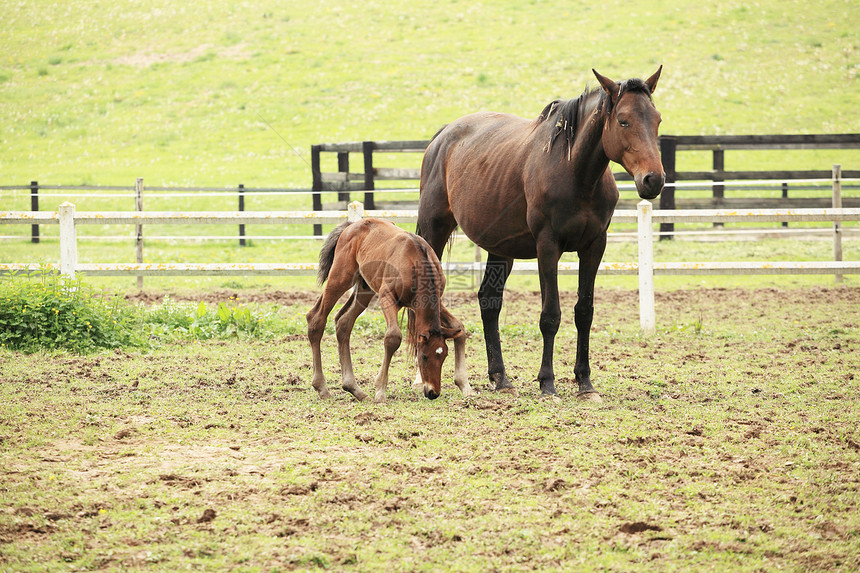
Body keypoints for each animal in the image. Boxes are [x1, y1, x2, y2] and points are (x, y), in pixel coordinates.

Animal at [306, 218, 474, 402]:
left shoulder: (429, 303)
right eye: (424, 356)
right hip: (340, 277)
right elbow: (393, 337)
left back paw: (354, 389)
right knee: (316, 318)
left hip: (365, 288)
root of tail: (352, 225)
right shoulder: (386, 296)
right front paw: (380, 391)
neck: (417, 264)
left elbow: (459, 327)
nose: (433, 393)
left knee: (344, 322)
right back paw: (322, 387)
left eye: (444, 356)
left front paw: (465, 385)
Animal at [416, 67, 664, 398]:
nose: (653, 179)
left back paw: (500, 378)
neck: (575, 173)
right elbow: (551, 316)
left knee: (489, 301)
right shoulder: (548, 247)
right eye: (623, 120)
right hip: (434, 231)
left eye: (657, 119)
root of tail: (442, 137)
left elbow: (584, 312)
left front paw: (585, 383)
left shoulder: (594, 246)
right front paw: (548, 382)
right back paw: (421, 376)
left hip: (500, 248)